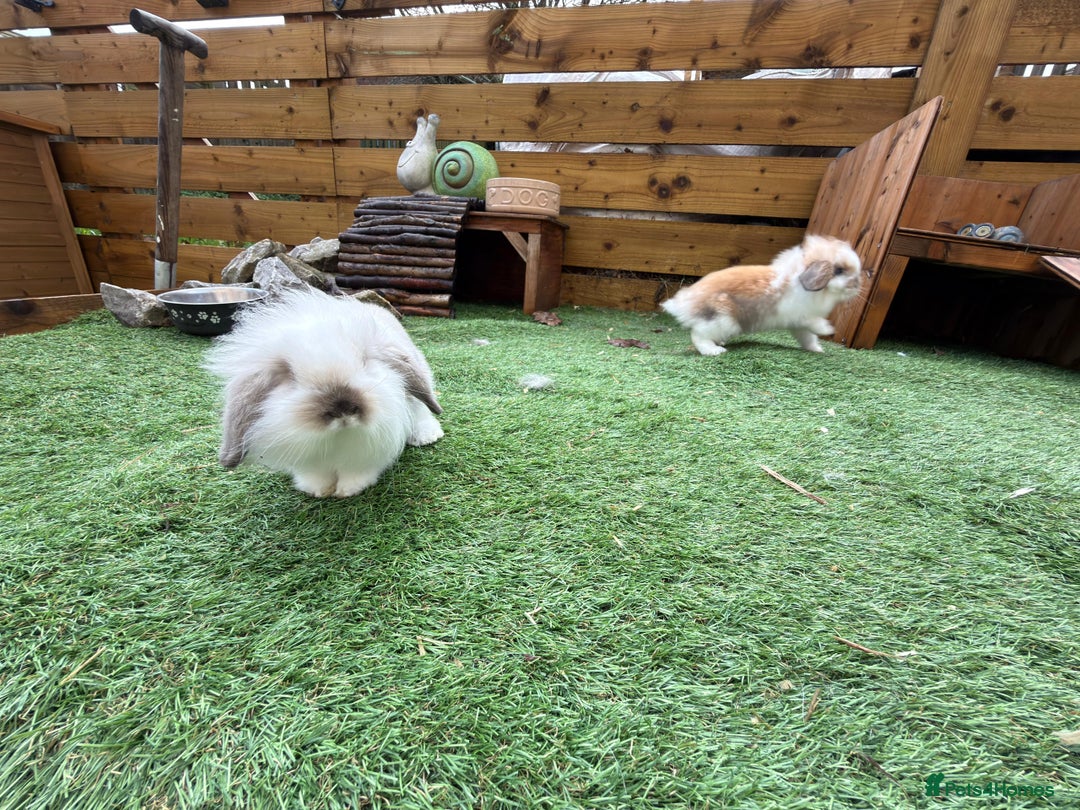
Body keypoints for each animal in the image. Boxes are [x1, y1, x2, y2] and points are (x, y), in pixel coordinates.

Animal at [203, 286, 444, 498]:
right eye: (290, 375)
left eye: (364, 361)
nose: (342, 408)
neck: (339, 439)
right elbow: (316, 475)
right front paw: (318, 490)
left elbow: (357, 472)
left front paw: (348, 490)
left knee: (421, 409)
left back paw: (426, 436)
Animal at [660, 234, 863, 355]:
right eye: (839, 270)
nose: (857, 284)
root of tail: (684, 302)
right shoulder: (803, 317)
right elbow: (815, 325)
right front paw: (828, 329)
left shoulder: (799, 326)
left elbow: (808, 338)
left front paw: (817, 350)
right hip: (724, 321)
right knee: (698, 335)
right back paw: (715, 351)